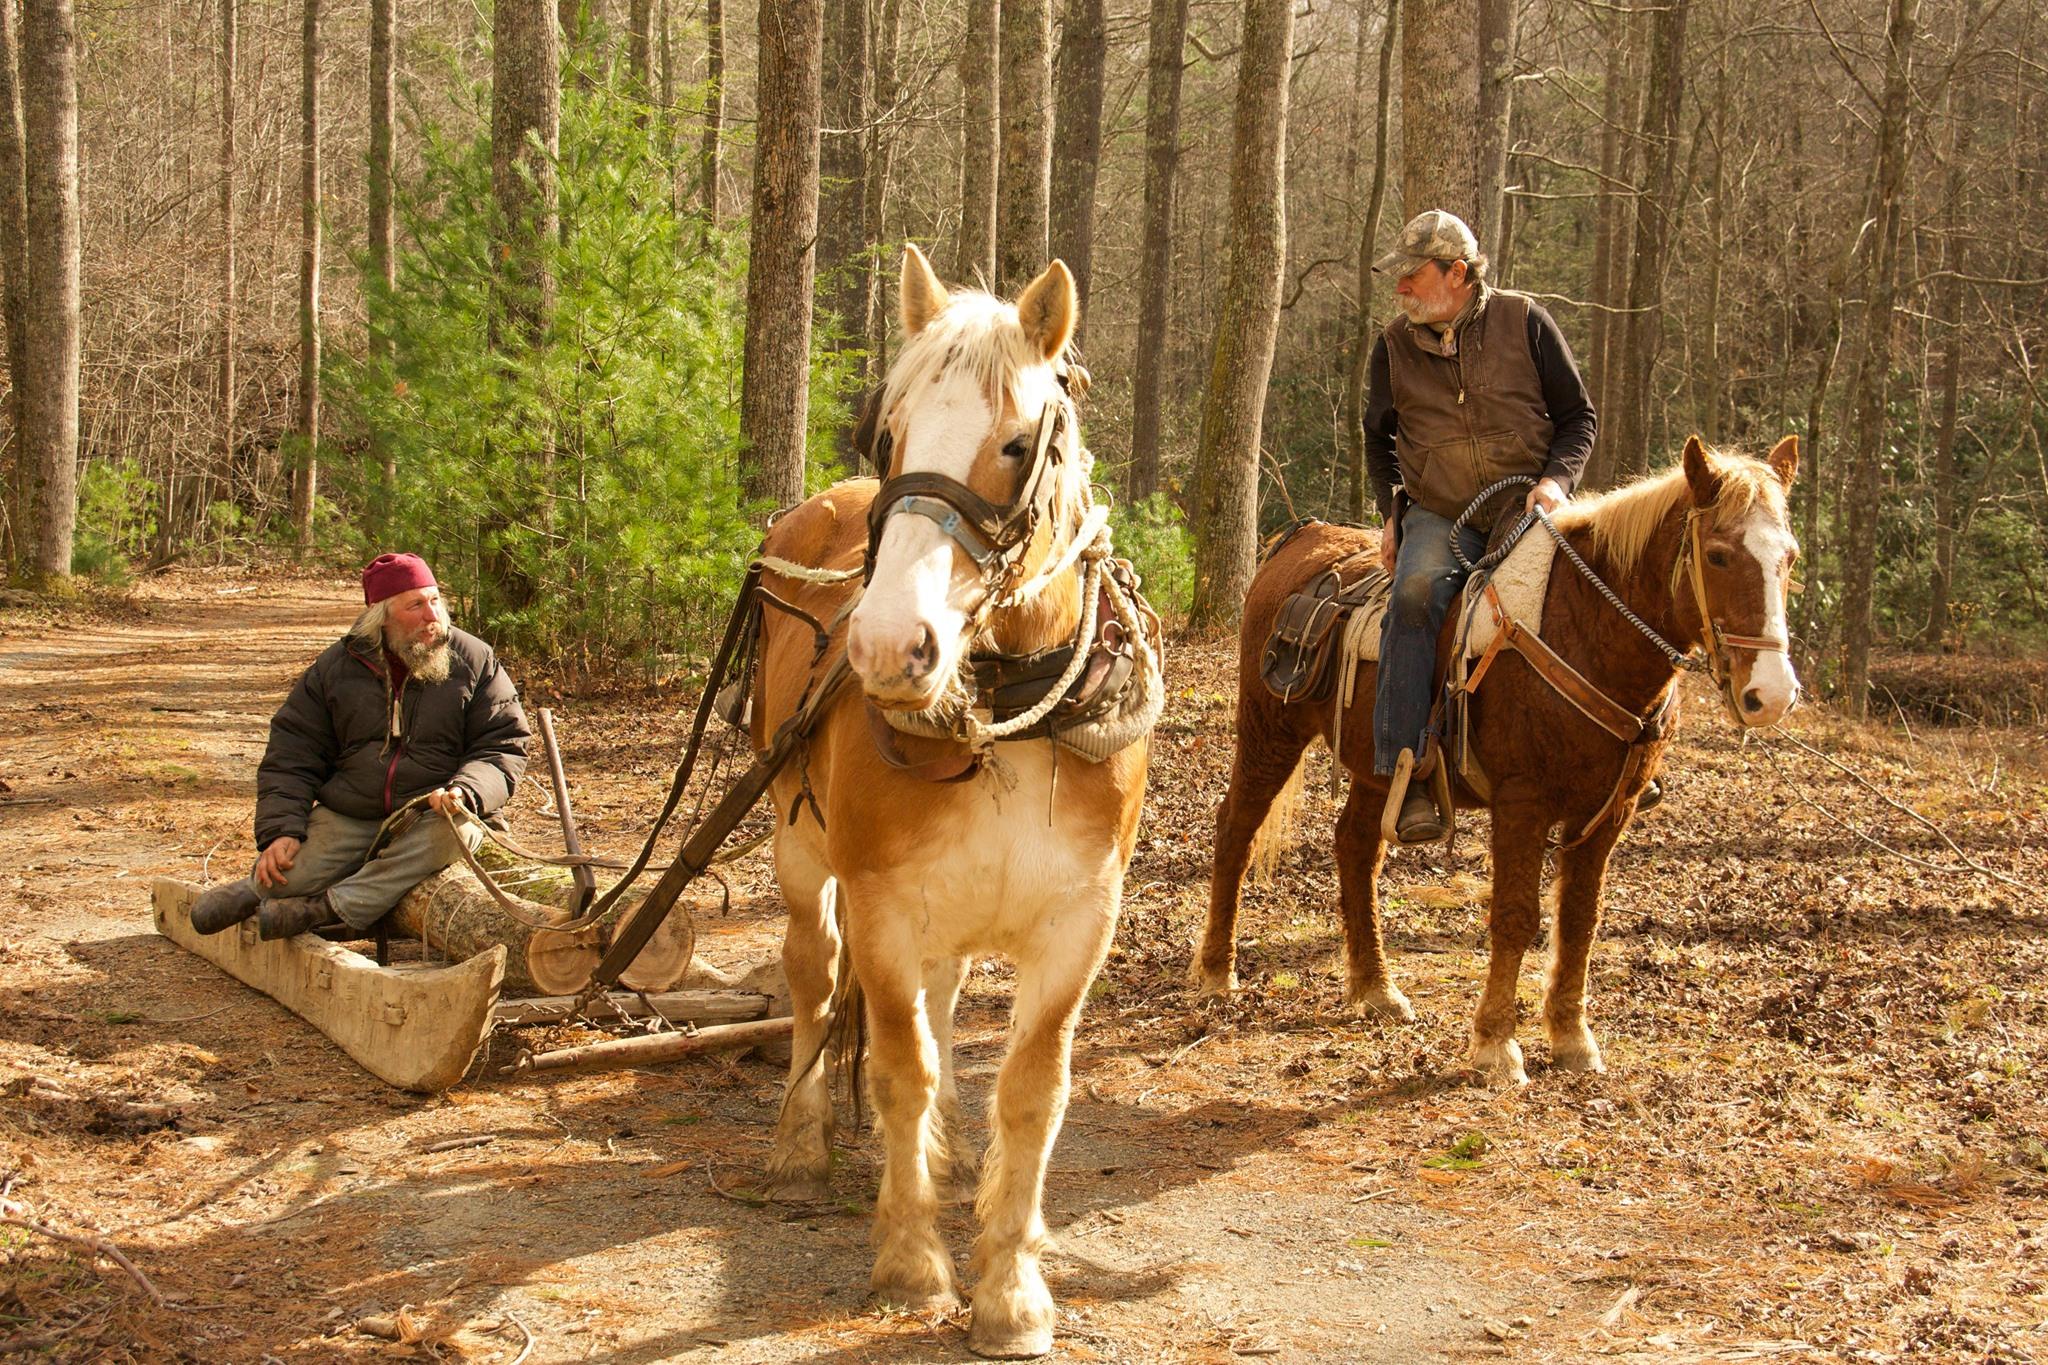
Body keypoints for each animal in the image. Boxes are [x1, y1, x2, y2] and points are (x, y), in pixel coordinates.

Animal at [745, 245, 1155, 1358]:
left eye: (1015, 444)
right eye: (888, 435)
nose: (890, 645)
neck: (1009, 724)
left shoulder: (1077, 921)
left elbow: (1030, 1090)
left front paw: (1010, 1287)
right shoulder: (882, 903)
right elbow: (900, 1067)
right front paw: (910, 1260)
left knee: (938, 1002)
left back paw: (942, 1154)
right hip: (801, 853)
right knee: (813, 976)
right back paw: (798, 1143)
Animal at [1196, 431, 1802, 1080]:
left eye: (1789, 558)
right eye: (1717, 555)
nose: (1771, 695)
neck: (1586, 630)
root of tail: (1297, 540)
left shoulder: (1609, 813)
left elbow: (1580, 918)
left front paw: (1572, 1037)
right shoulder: (1523, 802)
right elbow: (1515, 916)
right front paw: (1495, 1043)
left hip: (1379, 768)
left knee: (1355, 847)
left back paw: (1376, 987)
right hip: (1270, 731)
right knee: (1237, 827)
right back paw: (1216, 971)